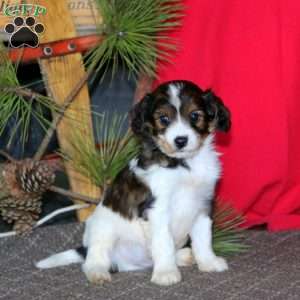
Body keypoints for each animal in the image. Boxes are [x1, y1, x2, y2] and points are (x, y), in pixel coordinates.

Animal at [36, 79, 231, 286]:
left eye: (195, 115)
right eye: (163, 119)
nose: (180, 140)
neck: (184, 165)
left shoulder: (202, 205)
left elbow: (203, 239)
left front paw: (209, 262)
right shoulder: (157, 210)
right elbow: (164, 242)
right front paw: (166, 272)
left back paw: (183, 256)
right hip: (102, 230)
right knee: (94, 258)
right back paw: (98, 272)